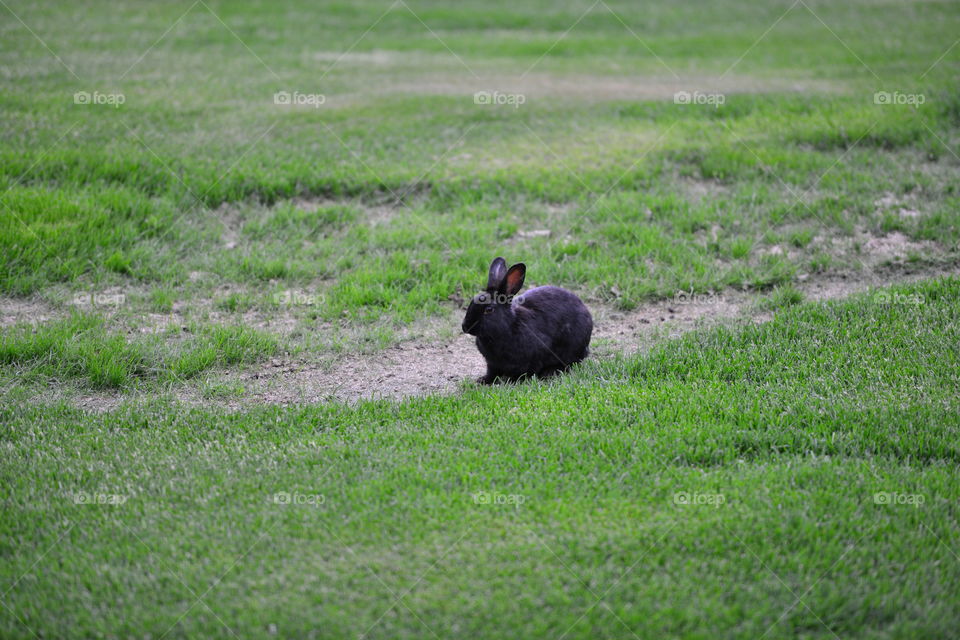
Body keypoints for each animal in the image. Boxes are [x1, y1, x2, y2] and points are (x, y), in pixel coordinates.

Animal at [462, 257, 593, 384]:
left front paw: (512, 380)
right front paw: (483, 380)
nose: (465, 327)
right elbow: (492, 372)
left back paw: (550, 372)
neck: (507, 327)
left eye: (489, 310)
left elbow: (525, 372)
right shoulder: (492, 363)